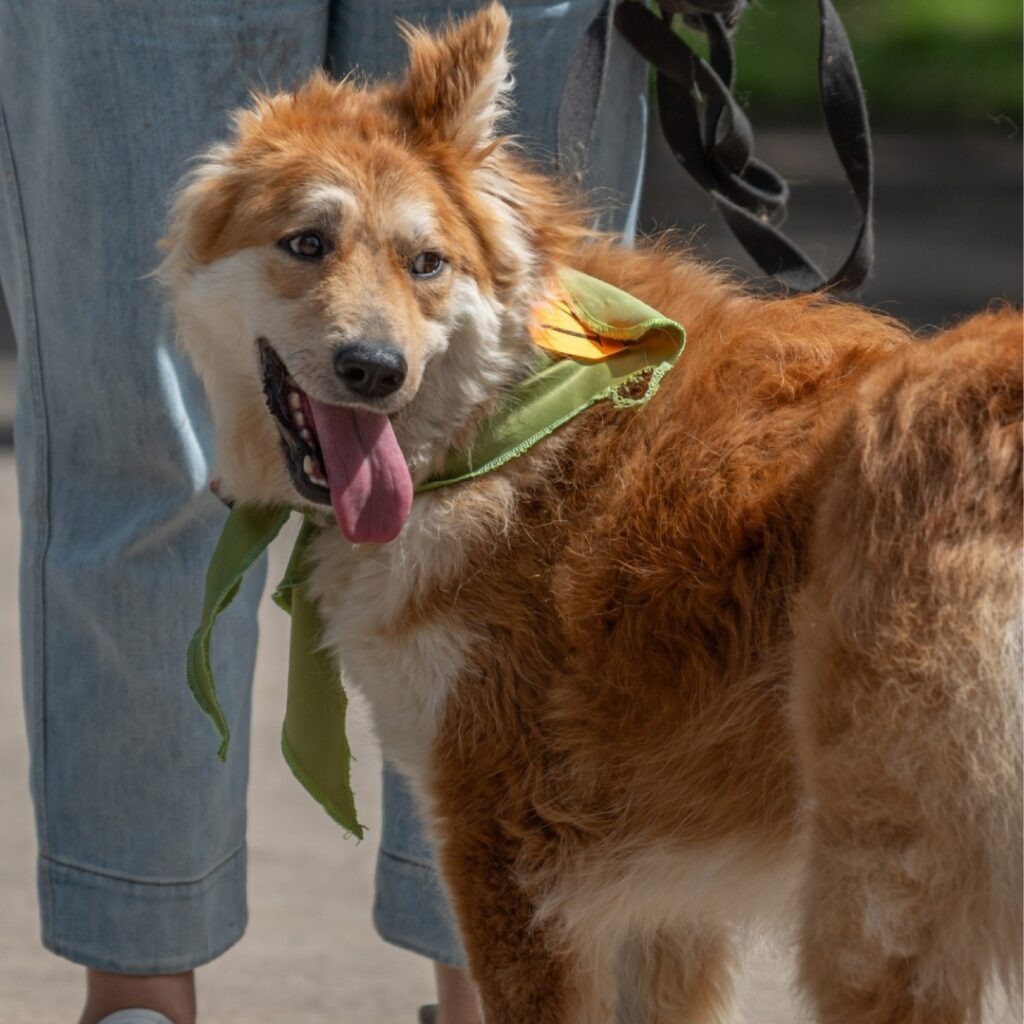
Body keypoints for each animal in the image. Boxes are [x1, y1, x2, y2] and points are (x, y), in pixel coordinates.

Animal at [159, 6, 1024, 1015]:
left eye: (427, 264)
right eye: (306, 244)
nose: (374, 370)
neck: (502, 433)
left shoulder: (514, 854)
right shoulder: (665, 894)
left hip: (872, 903)